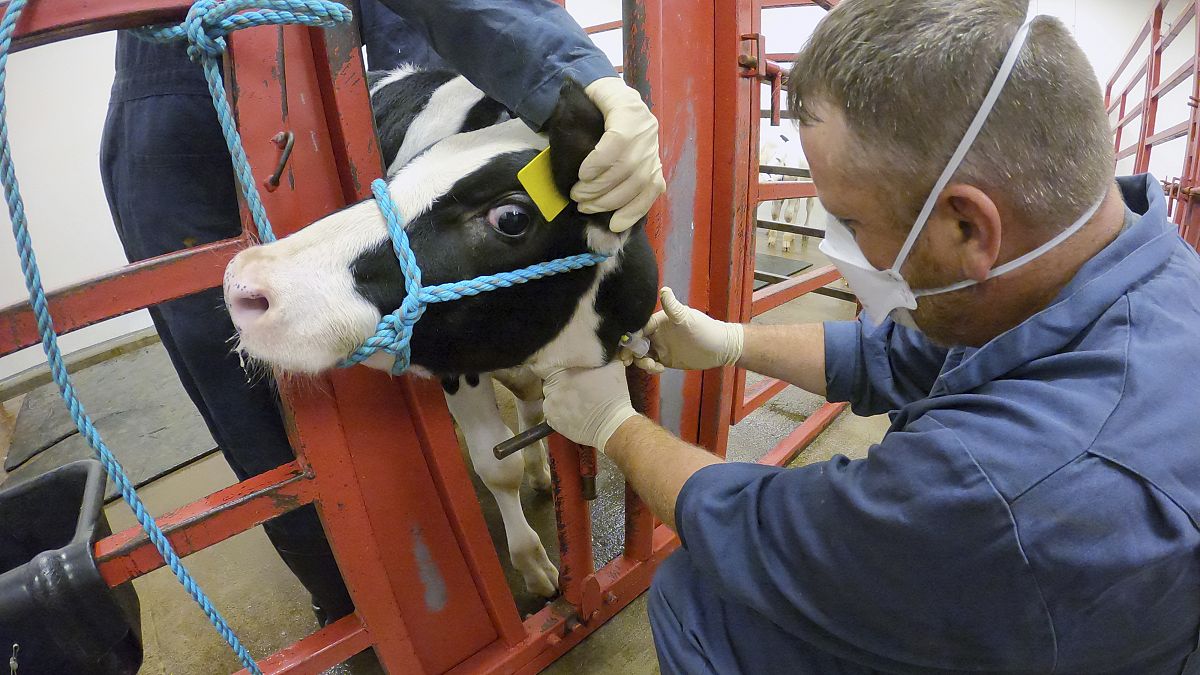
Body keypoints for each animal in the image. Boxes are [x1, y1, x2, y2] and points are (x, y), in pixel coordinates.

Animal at [223, 66, 657, 593]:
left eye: (512, 217)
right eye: (398, 175)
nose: (245, 283)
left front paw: (540, 479)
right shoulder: (458, 367)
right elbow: (498, 465)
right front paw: (533, 566)